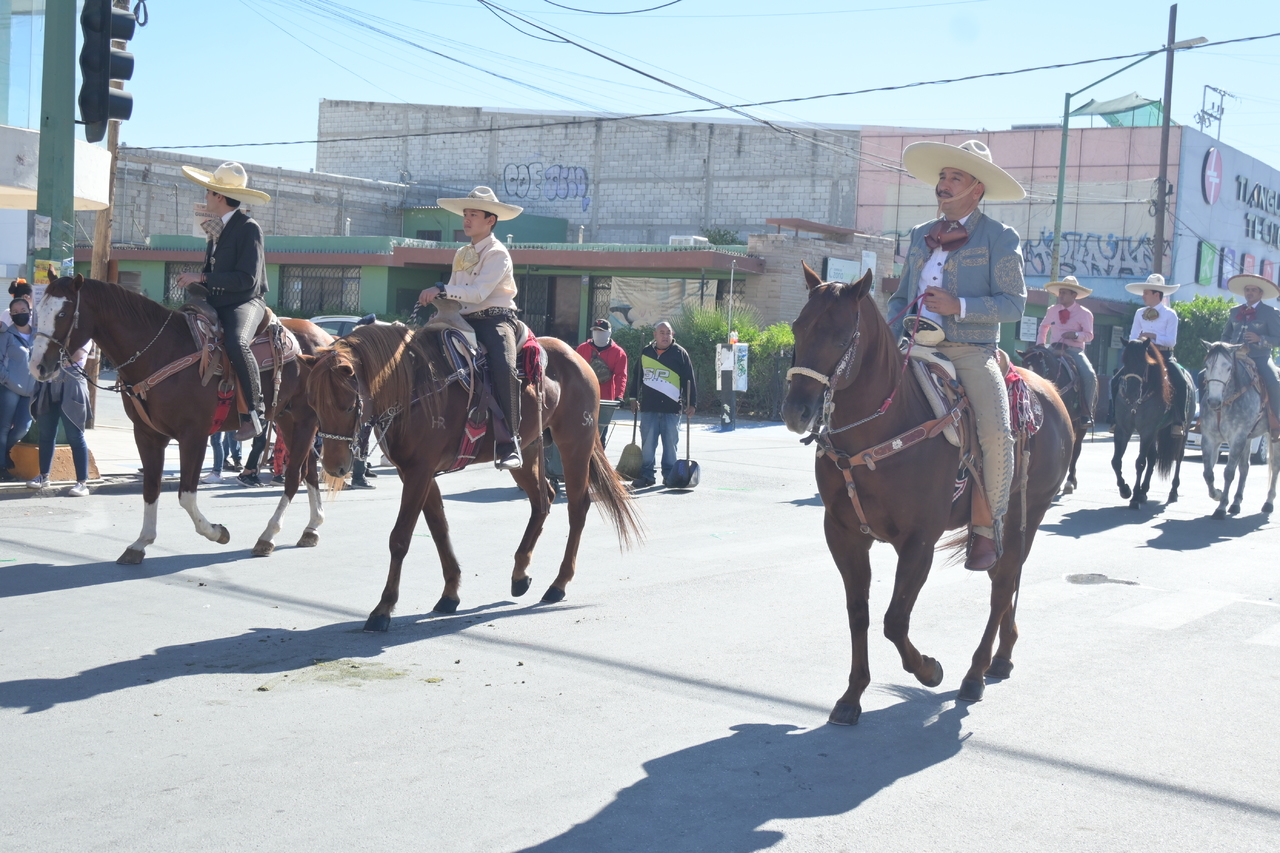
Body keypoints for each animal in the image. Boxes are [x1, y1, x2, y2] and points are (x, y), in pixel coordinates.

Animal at [29, 275, 333, 563]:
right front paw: (140, 543)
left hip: (306, 420)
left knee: (294, 477)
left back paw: (268, 536)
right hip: (287, 420)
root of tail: (326, 339)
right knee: (309, 471)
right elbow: (151, 488)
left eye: (62, 313)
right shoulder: (147, 435)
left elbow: (186, 495)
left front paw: (217, 532)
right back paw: (312, 528)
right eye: (39, 310)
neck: (159, 352)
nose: (37, 367)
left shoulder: (193, 436)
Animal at [303, 322, 642, 632]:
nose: (334, 467)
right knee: (542, 499)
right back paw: (520, 574)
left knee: (577, 506)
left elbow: (400, 538)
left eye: (349, 405)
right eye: (313, 404)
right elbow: (439, 529)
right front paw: (450, 592)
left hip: (575, 443)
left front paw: (383, 608)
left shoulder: (418, 472)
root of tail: (576, 356)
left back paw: (559, 583)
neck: (415, 387)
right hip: (525, 453)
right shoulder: (417, 473)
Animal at [781, 266, 1073, 725]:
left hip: (1026, 512)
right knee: (1007, 578)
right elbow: (859, 613)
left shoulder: (919, 541)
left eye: (842, 338)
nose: (797, 411)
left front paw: (929, 670)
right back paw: (1003, 654)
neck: (881, 430)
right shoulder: (843, 533)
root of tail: (1052, 394)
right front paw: (852, 695)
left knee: (1002, 584)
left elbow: (895, 620)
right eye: (798, 327)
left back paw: (976, 672)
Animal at [1110, 339, 1193, 509]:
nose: (1131, 393)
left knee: (1179, 457)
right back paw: (1144, 492)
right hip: (1155, 432)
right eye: (1125, 362)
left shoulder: (1147, 430)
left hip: (1184, 430)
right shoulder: (1123, 430)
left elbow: (1140, 463)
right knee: (1153, 457)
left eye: (1144, 364)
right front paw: (1125, 490)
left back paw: (1173, 492)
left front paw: (1134, 497)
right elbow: (1116, 461)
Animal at [1199, 342, 1280, 517]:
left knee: (1275, 465)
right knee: (1245, 467)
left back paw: (1268, 503)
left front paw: (1221, 507)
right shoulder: (1209, 438)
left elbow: (1229, 472)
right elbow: (1208, 472)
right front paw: (1218, 494)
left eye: (1229, 368)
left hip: (1274, 436)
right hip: (1248, 438)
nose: (1213, 401)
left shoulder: (1237, 438)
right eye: (1206, 365)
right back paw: (1236, 503)